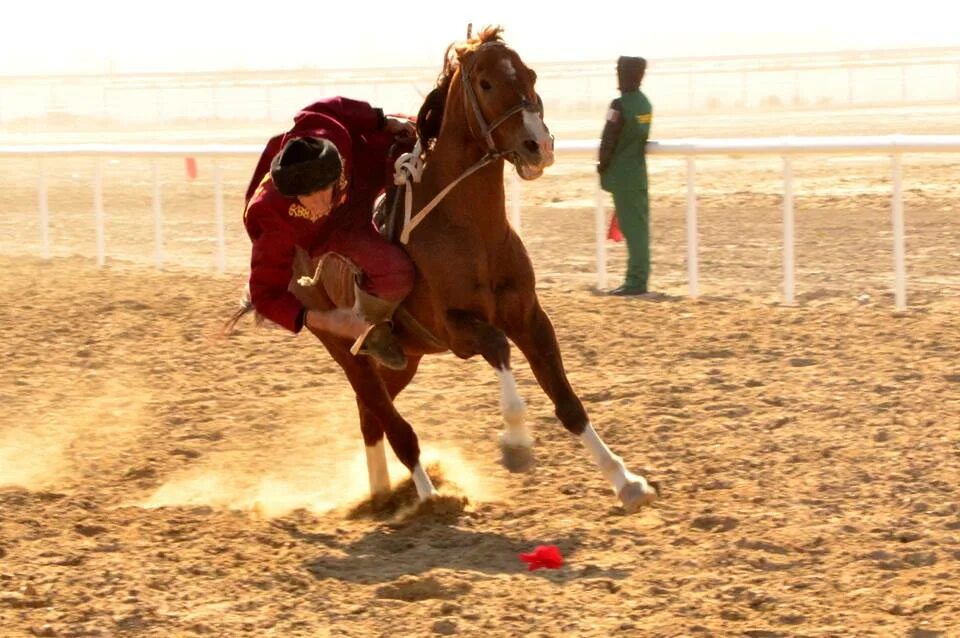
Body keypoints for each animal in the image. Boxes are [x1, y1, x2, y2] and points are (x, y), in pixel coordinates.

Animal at [290, 28, 660, 516]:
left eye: (530, 74)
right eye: (485, 83)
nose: (538, 146)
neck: (470, 230)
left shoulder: (530, 318)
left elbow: (568, 402)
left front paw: (627, 482)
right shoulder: (457, 329)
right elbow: (498, 348)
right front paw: (517, 444)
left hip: (403, 359)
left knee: (371, 415)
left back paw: (383, 494)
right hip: (346, 350)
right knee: (387, 418)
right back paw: (427, 495)